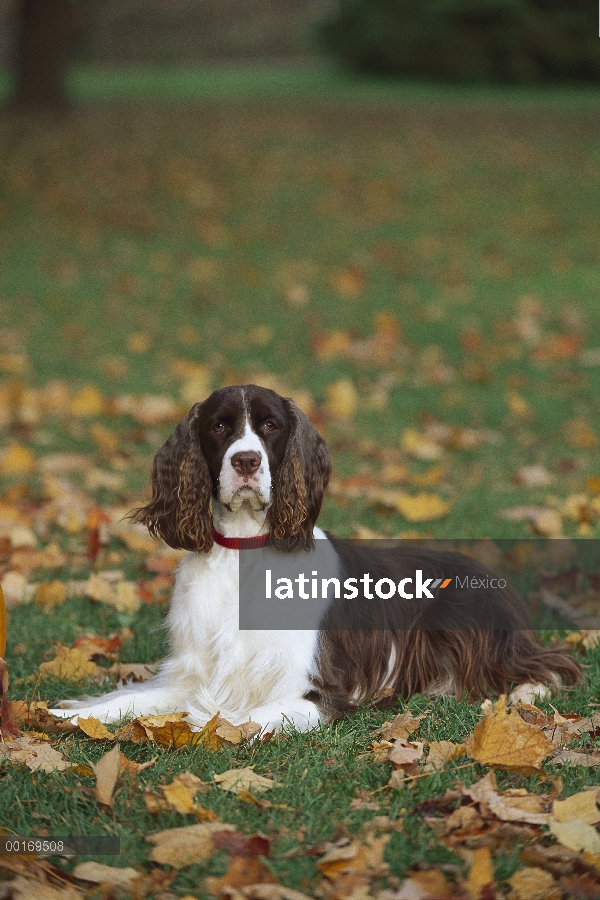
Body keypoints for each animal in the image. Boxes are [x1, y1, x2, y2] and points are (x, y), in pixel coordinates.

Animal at [51, 384, 580, 732]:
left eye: (270, 425)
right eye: (219, 425)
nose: (246, 461)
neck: (244, 552)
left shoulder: (317, 690)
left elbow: (233, 718)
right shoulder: (195, 672)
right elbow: (128, 701)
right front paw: (63, 715)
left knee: (550, 665)